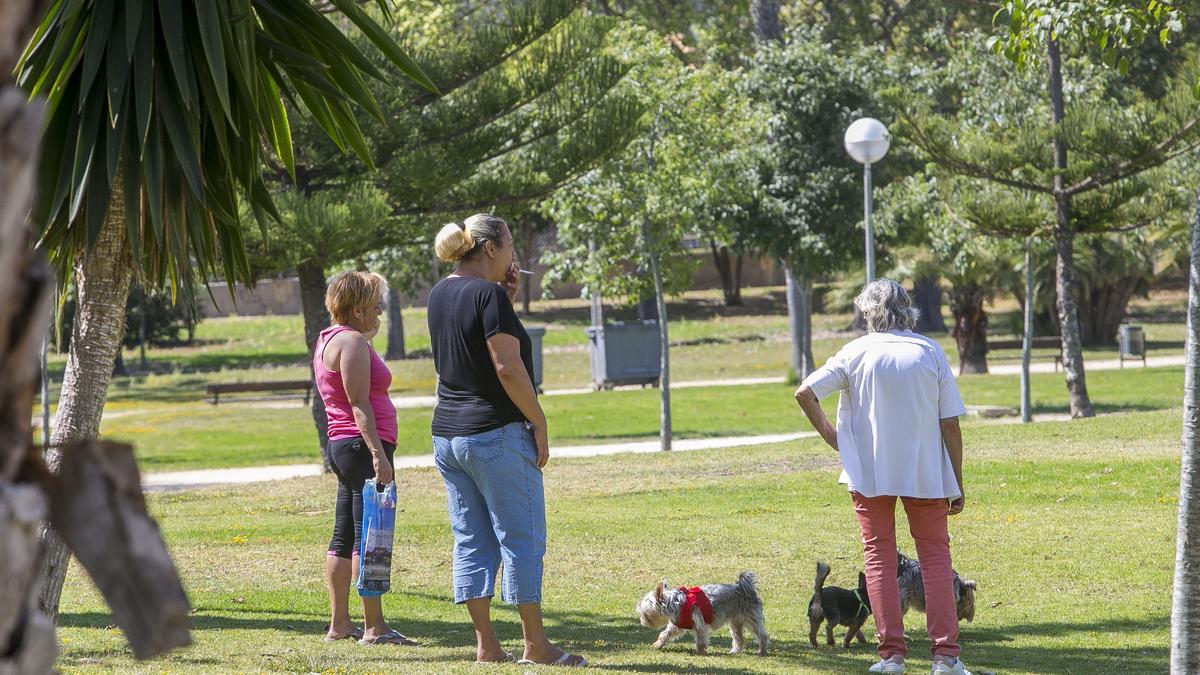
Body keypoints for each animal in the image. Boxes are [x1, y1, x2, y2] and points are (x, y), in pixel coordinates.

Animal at [638, 566, 768, 653]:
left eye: (645, 612)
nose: (641, 620)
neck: (675, 602)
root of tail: (744, 587)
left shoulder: (699, 622)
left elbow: (700, 638)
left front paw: (700, 651)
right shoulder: (678, 624)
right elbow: (665, 634)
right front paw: (657, 645)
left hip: (751, 618)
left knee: (762, 634)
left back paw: (762, 651)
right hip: (736, 621)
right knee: (739, 637)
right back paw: (735, 651)